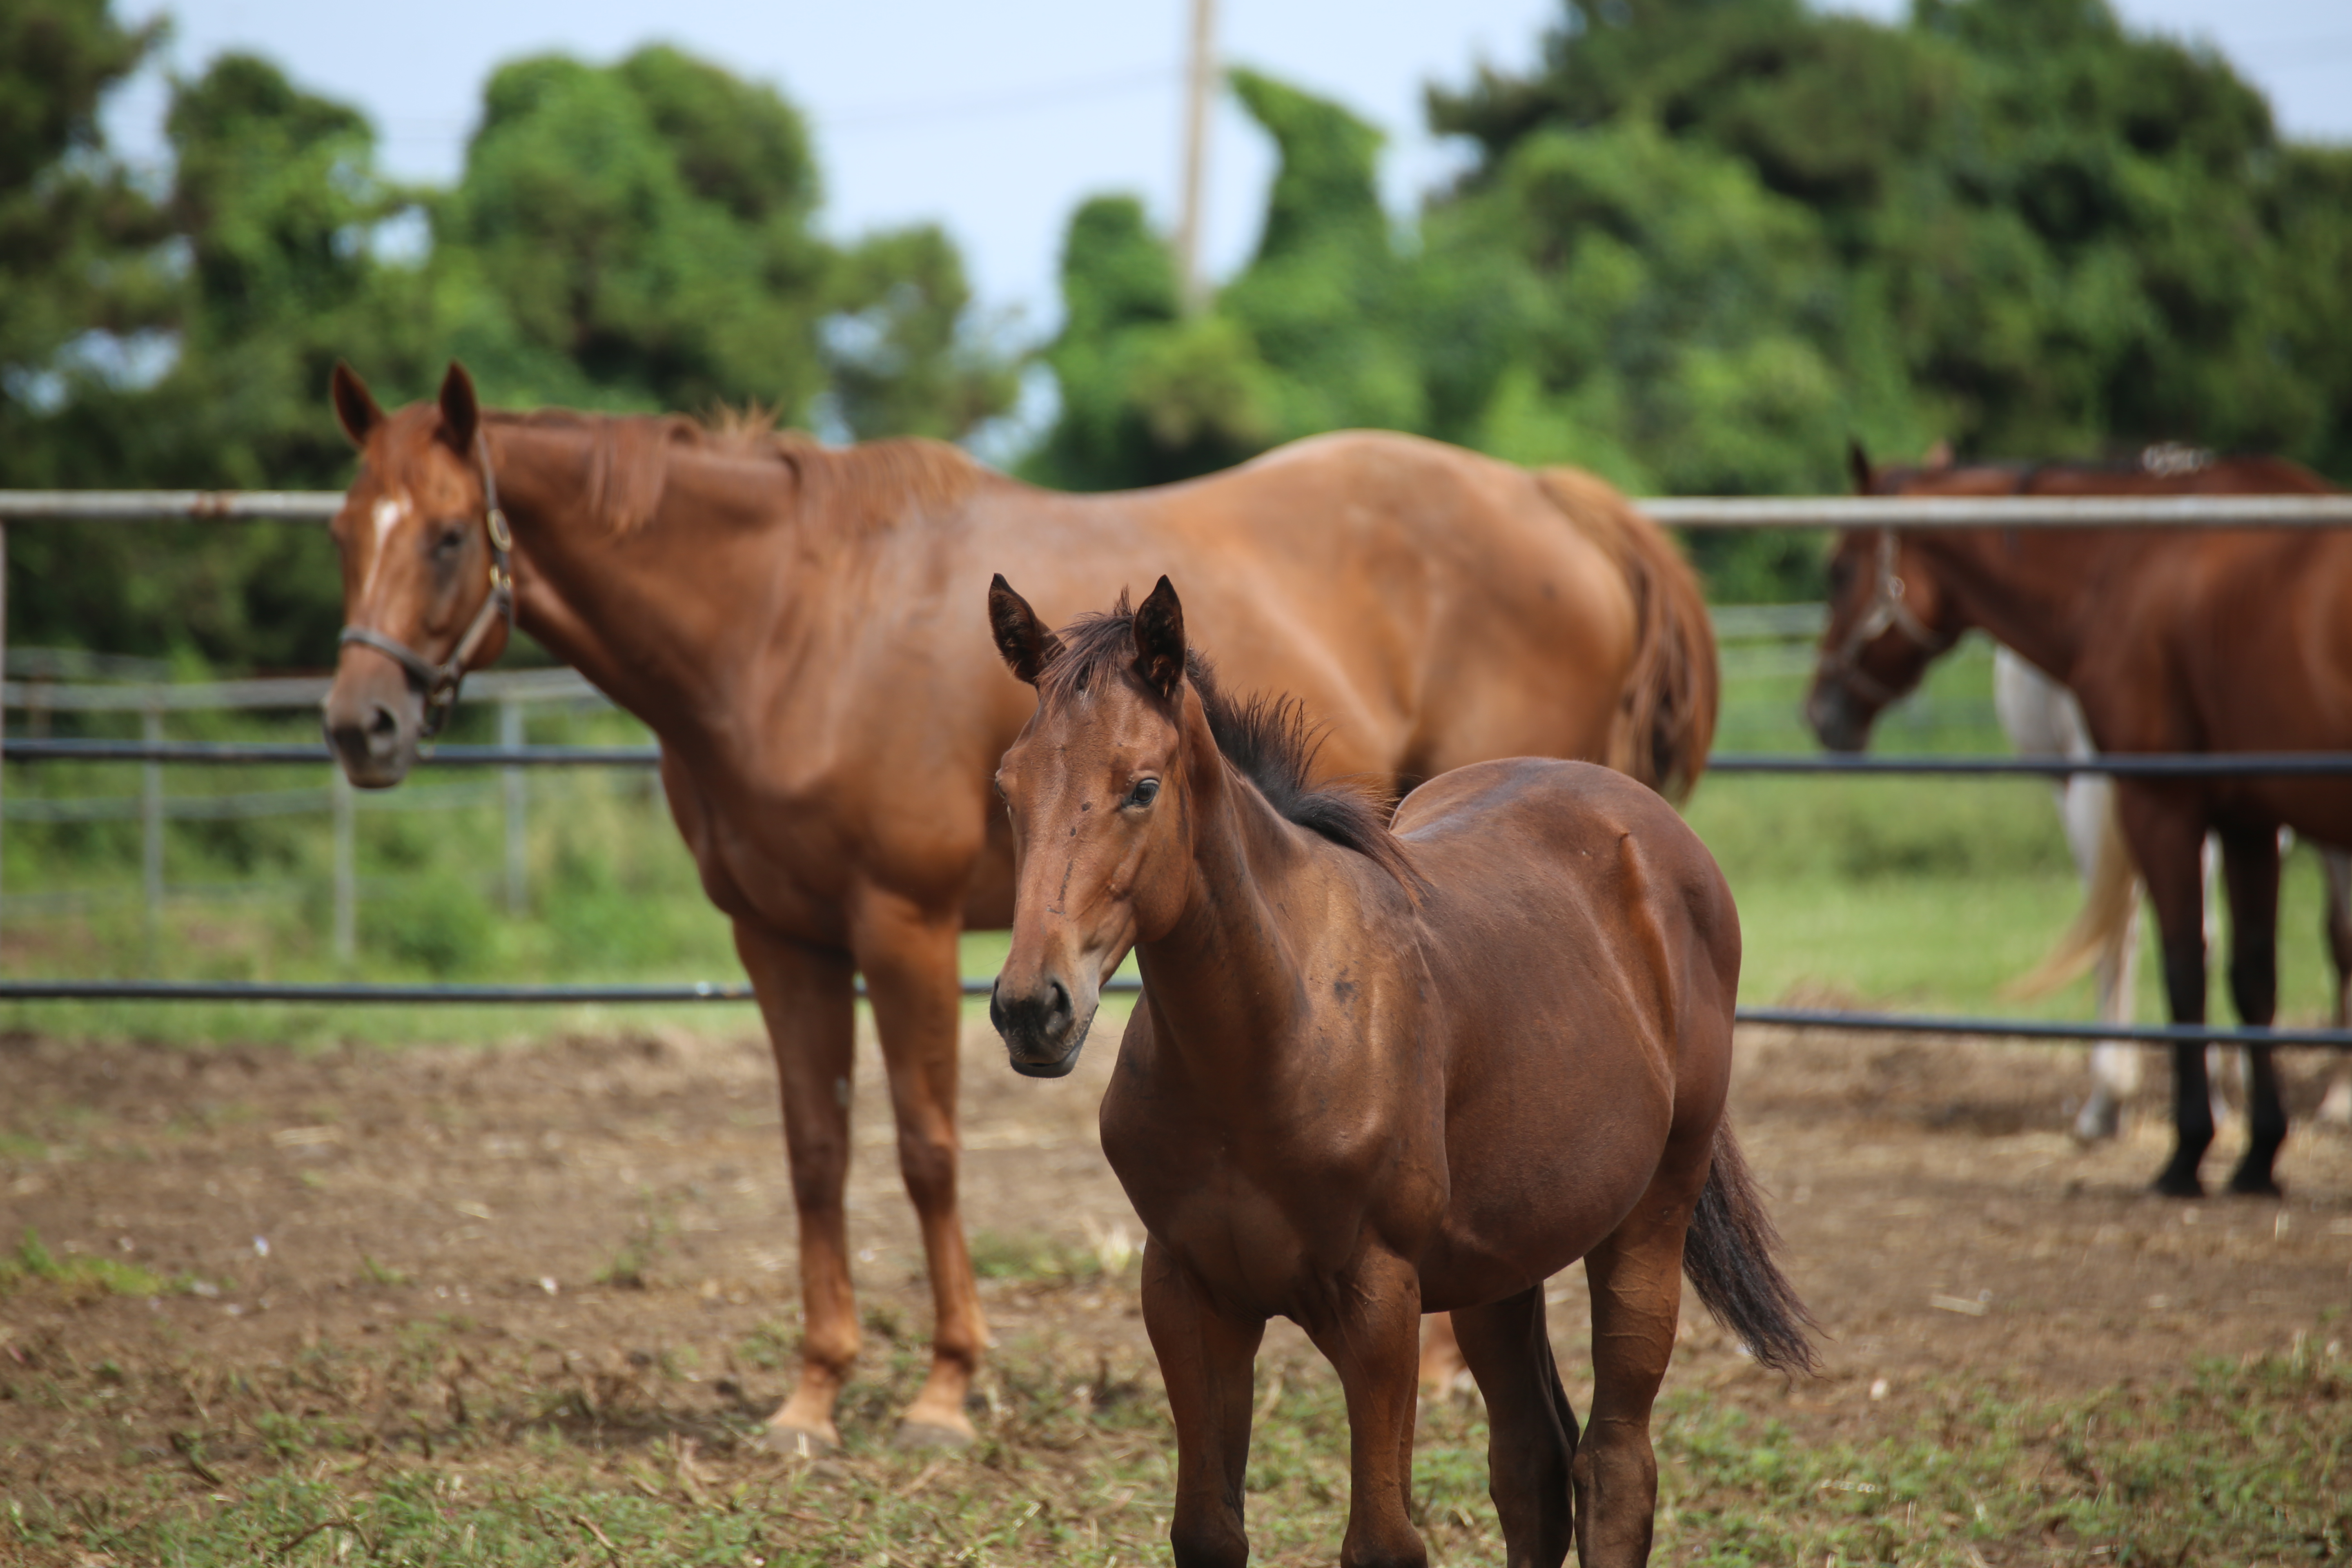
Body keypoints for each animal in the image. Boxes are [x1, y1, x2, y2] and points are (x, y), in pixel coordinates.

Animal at [317, 362, 1712, 1457]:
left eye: (448, 537)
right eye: (342, 533)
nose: (358, 725)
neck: (793, 620)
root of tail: (1559, 502)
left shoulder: (905, 926)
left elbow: (926, 1147)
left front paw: (943, 1390)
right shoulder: (779, 937)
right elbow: (814, 1149)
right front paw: (812, 1393)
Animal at [983, 576, 1806, 1568]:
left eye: (1142, 787)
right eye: (1009, 788)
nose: (1032, 1008)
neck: (1268, 1046)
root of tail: (1647, 823)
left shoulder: (1379, 1304)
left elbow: (1383, 1539)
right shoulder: (1186, 1292)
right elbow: (1207, 1530)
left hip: (1650, 1218)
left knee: (1615, 1470)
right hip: (1501, 1261)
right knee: (1532, 1464)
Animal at [1806, 446, 2342, 1194]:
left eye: (1839, 569)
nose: (1821, 709)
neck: (2119, 561)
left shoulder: (2154, 800)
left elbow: (2182, 959)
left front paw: (2185, 1147)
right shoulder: (2247, 820)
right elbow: (2252, 971)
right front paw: (2258, 1151)